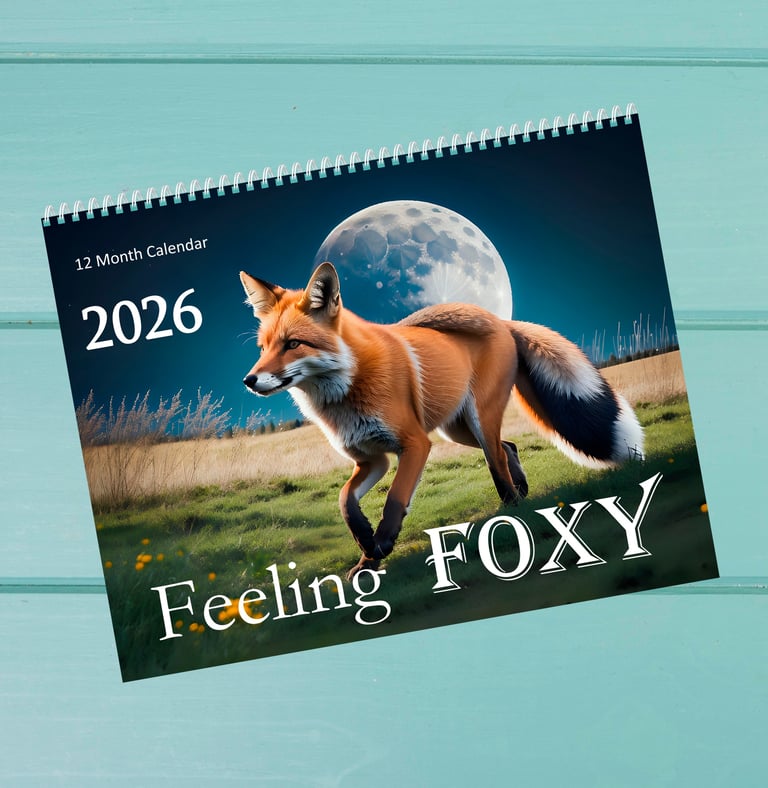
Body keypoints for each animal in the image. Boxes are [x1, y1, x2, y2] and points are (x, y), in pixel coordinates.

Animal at [240, 262, 644, 579]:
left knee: (498, 461)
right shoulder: (372, 459)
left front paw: (382, 543)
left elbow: (395, 498)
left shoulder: (415, 444)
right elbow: (345, 502)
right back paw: (523, 492)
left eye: (293, 344)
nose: (249, 380)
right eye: (263, 347)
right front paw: (366, 553)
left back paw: (512, 509)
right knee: (509, 447)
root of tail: (501, 322)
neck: (345, 396)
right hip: (457, 430)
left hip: (475, 423)